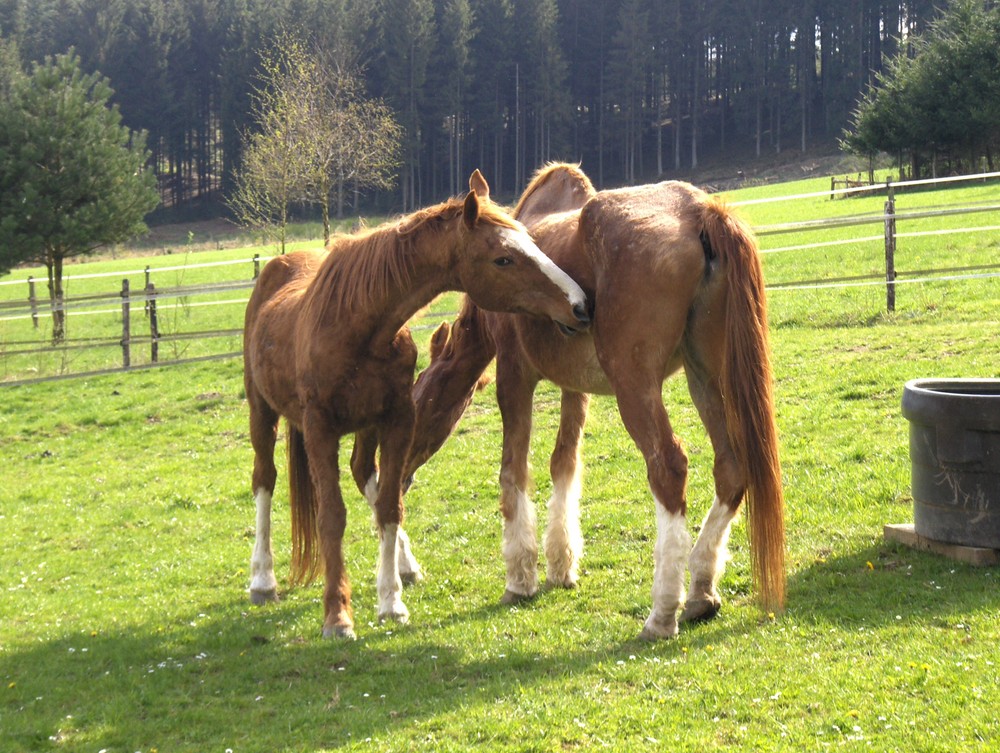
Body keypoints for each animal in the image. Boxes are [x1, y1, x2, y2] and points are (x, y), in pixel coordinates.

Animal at [243, 172, 588, 640]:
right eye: (503, 258)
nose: (579, 303)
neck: (361, 327)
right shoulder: (320, 428)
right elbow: (332, 517)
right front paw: (338, 616)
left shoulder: (395, 421)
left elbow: (390, 506)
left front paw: (391, 603)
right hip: (262, 411)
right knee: (265, 480)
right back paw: (263, 580)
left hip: (365, 428)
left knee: (364, 475)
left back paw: (403, 567)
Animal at [394, 164, 784, 640]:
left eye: (421, 402)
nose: (397, 476)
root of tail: (699, 211)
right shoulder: (574, 388)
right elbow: (563, 463)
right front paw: (561, 564)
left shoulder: (515, 377)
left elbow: (513, 471)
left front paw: (520, 576)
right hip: (706, 376)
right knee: (730, 468)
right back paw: (700, 591)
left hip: (637, 385)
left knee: (669, 466)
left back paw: (663, 611)